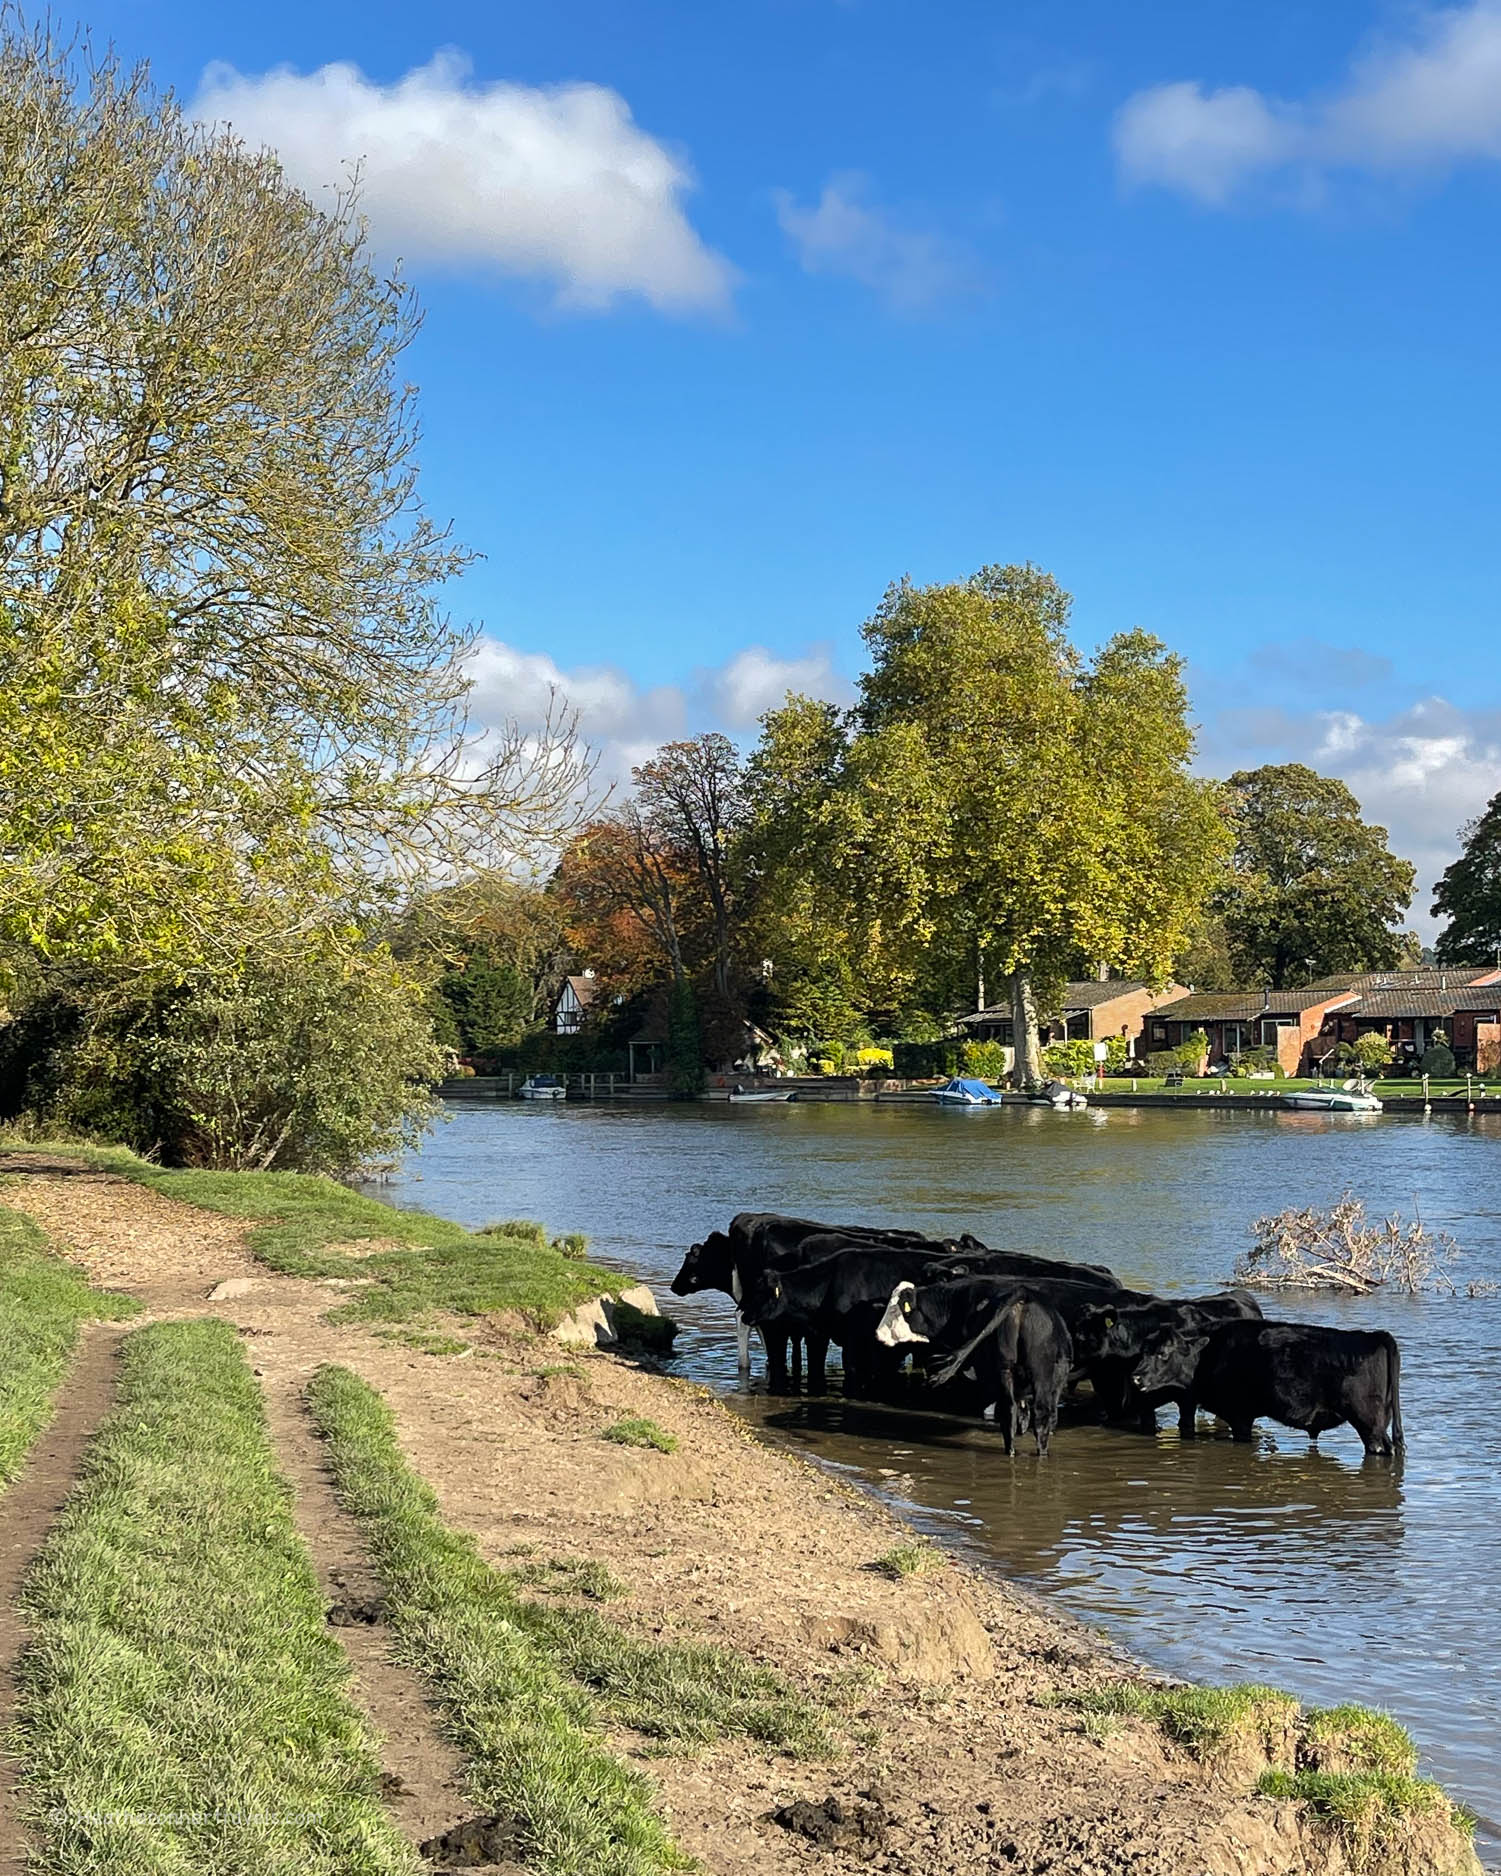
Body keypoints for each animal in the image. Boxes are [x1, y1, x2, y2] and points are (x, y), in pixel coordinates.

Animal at [874, 1275, 1073, 1463]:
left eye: (894, 1310)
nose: (878, 1335)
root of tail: (1022, 1294)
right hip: (1037, 1374)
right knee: (1039, 1415)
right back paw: (1038, 1454)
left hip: (1006, 1369)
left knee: (1010, 1411)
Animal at [1140, 1313, 1410, 1455]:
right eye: (1143, 1350)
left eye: (1163, 1353)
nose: (1136, 1376)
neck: (1209, 1352)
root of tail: (1373, 1335)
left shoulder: (1240, 1416)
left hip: (1369, 1424)